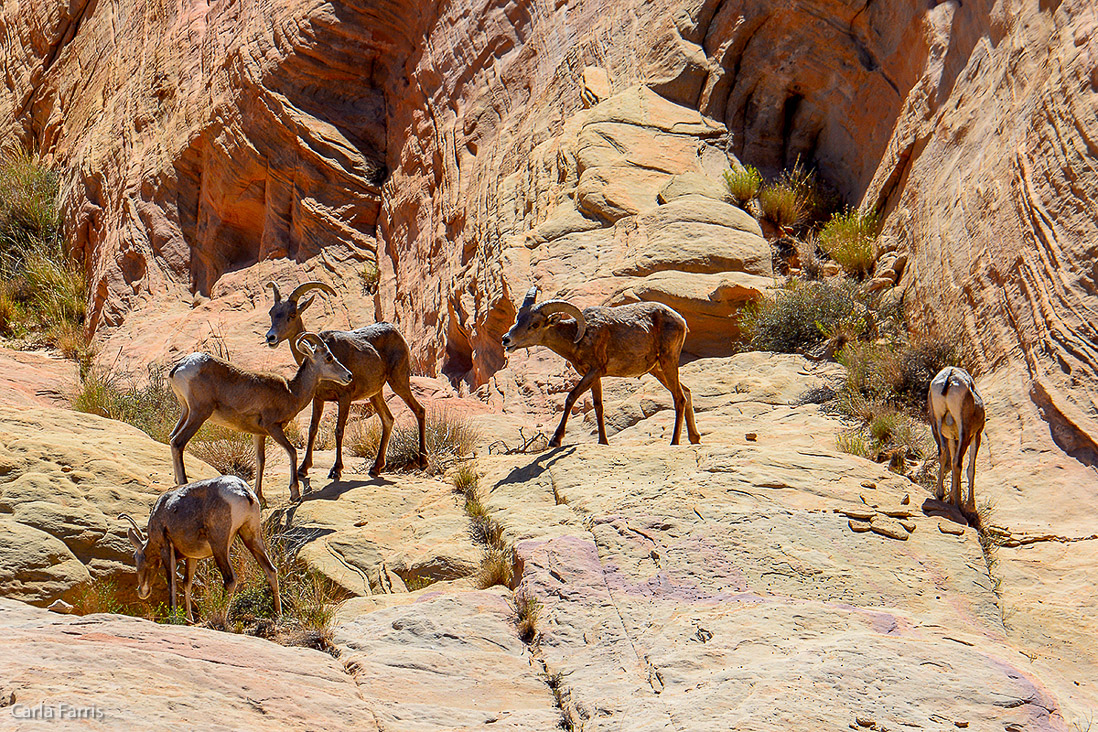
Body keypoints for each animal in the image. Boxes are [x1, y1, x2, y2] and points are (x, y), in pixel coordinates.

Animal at [119, 476, 283, 623]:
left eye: (135, 557)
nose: (142, 592)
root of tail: (244, 492)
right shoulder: (193, 557)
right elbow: (187, 583)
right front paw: (189, 619)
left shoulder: (166, 548)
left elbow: (171, 583)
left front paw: (173, 618)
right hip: (251, 536)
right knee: (271, 570)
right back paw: (278, 615)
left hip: (219, 545)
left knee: (230, 579)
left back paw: (220, 618)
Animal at [167, 331, 351, 504]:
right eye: (328, 357)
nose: (349, 376)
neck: (292, 392)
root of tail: (180, 368)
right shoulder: (273, 428)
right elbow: (292, 452)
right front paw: (295, 494)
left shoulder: (259, 434)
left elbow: (260, 461)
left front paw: (260, 497)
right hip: (199, 413)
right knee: (178, 442)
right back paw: (183, 485)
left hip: (186, 411)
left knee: (171, 437)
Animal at [263, 280, 426, 480]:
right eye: (272, 313)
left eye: (291, 315)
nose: (271, 337)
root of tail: (396, 332)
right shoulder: (318, 399)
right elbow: (312, 429)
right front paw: (303, 468)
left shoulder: (344, 397)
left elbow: (339, 430)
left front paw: (336, 470)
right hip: (375, 394)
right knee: (388, 419)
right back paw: (376, 467)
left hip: (399, 381)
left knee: (419, 410)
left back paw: (423, 462)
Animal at [502, 285, 698, 447]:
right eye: (518, 318)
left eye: (534, 324)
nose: (506, 339)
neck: (578, 337)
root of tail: (681, 321)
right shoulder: (594, 376)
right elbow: (598, 406)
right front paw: (603, 441)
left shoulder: (594, 371)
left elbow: (571, 397)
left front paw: (556, 440)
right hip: (657, 370)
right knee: (686, 392)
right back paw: (695, 439)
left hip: (668, 361)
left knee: (679, 397)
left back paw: (674, 442)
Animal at [926, 364, 988, 515]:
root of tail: (949, 377)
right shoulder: (976, 435)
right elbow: (970, 469)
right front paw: (970, 506)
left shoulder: (951, 438)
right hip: (963, 431)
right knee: (958, 463)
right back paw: (959, 504)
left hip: (936, 425)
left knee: (943, 454)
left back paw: (941, 495)